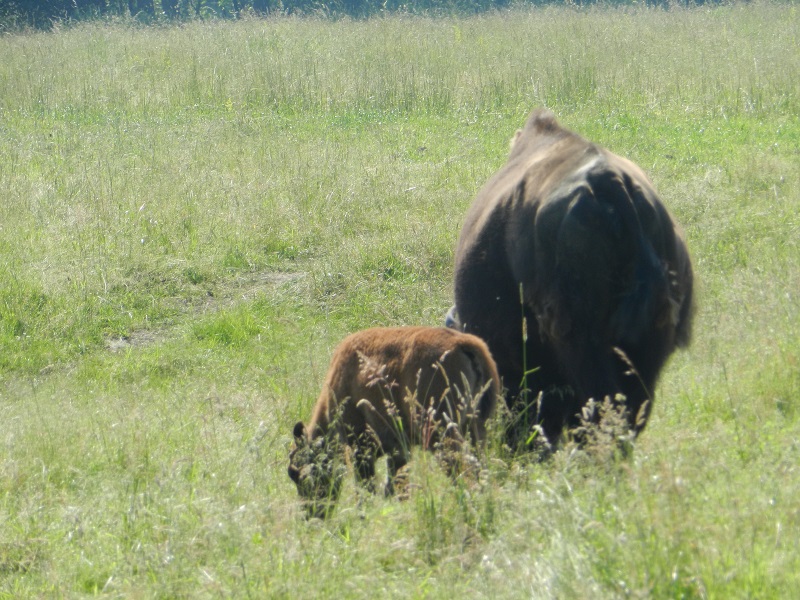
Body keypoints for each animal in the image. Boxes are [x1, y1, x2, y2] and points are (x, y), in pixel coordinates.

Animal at [288, 326, 500, 516]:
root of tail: (464, 343)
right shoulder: (398, 450)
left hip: (439, 433)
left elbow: (367, 488)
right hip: (476, 430)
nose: (311, 513)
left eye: (298, 474)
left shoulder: (362, 447)